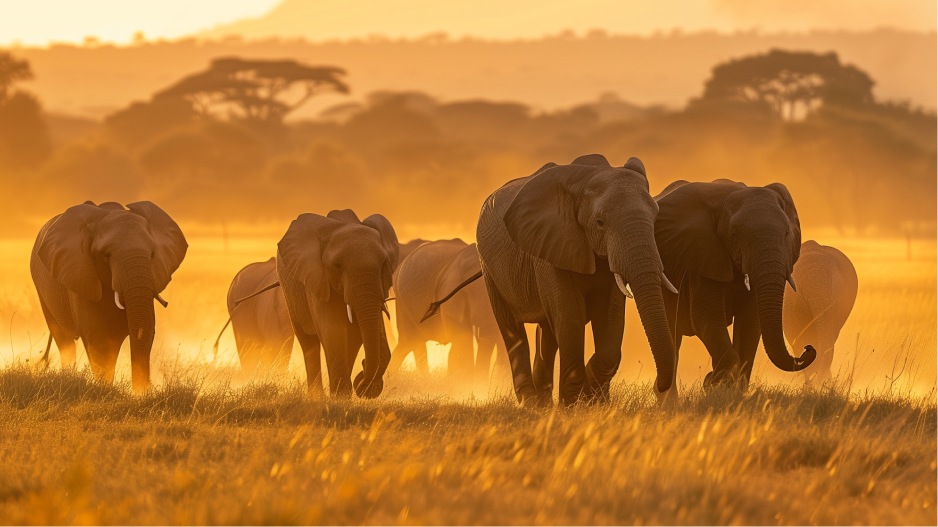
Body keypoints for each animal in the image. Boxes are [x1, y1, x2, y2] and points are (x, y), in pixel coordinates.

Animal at [30, 201, 187, 393]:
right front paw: (105, 390)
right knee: (64, 340)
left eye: (152, 254)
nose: (142, 392)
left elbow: (146, 329)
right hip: (42, 290)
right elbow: (99, 340)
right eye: (106, 255)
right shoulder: (81, 277)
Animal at [277, 208, 399, 398]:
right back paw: (316, 397)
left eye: (384, 264)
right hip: (289, 290)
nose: (361, 382)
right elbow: (332, 330)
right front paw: (340, 397)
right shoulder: (318, 279)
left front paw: (351, 390)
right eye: (337, 266)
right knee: (308, 342)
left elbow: (363, 331)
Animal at [468, 154, 678, 406]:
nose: (659, 387)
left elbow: (610, 316)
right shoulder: (551, 243)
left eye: (655, 217)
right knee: (512, 329)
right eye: (599, 222)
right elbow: (569, 315)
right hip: (489, 267)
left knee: (547, 330)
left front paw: (594, 401)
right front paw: (573, 404)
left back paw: (544, 402)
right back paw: (531, 402)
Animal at [652, 179, 816, 391]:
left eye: (787, 232)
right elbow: (706, 318)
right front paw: (714, 383)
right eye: (734, 234)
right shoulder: (704, 256)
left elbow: (750, 322)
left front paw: (729, 388)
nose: (808, 348)